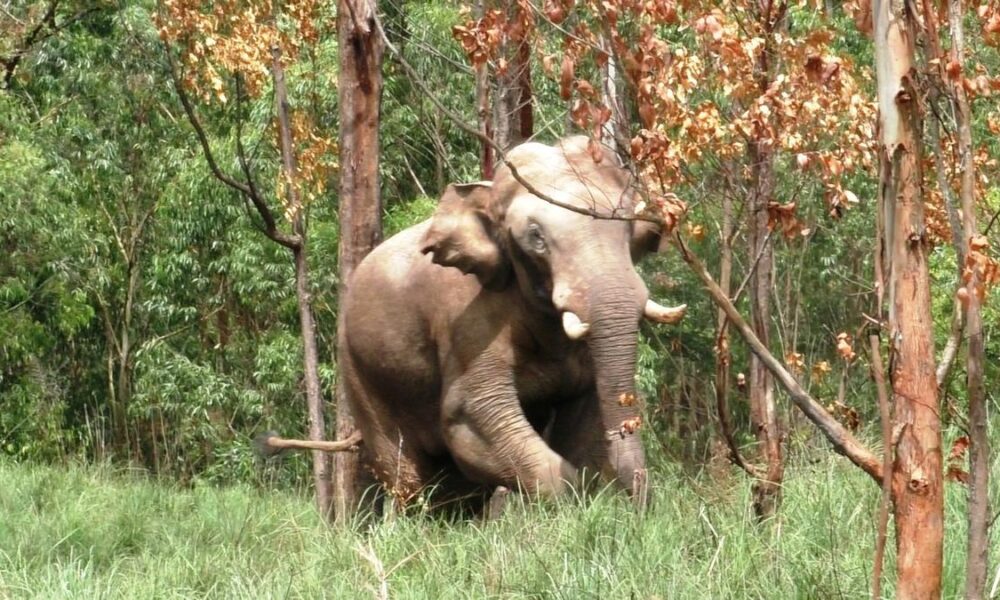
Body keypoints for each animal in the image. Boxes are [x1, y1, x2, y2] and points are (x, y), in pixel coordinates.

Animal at [340, 134, 684, 508]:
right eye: (536, 236)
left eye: (627, 224)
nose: (641, 504)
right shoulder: (467, 321)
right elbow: (469, 413)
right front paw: (572, 502)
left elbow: (584, 408)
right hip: (360, 376)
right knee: (405, 476)